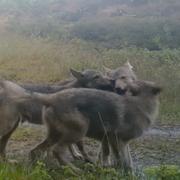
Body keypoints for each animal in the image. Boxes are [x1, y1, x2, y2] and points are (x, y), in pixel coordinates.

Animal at [19, 80, 160, 172]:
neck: (140, 103)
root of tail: (51, 97)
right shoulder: (116, 140)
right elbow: (121, 159)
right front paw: (122, 171)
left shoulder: (116, 141)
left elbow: (120, 157)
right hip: (79, 131)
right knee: (57, 150)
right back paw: (73, 170)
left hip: (55, 135)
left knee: (35, 150)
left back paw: (36, 167)